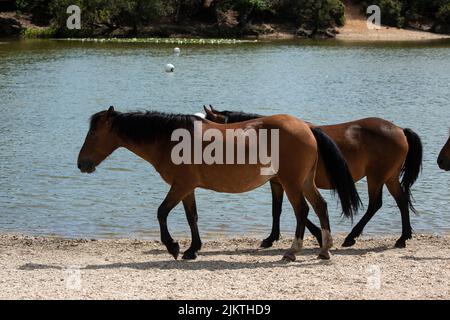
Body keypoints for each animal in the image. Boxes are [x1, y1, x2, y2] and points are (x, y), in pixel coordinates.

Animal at [76, 106, 358, 262]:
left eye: (92, 133)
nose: (81, 164)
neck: (170, 139)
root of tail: (307, 128)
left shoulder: (179, 186)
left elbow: (161, 212)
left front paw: (173, 246)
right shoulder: (187, 188)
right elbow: (192, 218)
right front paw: (192, 249)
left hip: (291, 182)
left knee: (302, 211)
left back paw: (292, 251)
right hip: (304, 181)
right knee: (320, 207)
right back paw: (324, 250)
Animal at [204, 105, 422, 248]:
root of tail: (400, 130)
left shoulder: (290, 182)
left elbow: (301, 212)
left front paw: (317, 235)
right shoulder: (277, 183)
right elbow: (277, 211)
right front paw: (271, 238)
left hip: (376, 178)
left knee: (375, 204)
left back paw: (352, 237)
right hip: (389, 177)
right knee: (401, 201)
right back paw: (403, 237)